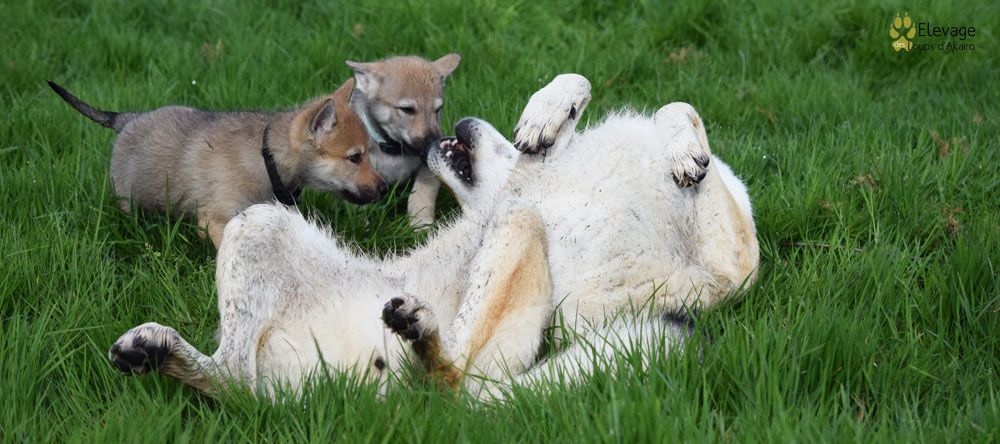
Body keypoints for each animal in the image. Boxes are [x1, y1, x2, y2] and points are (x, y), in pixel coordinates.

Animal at [48, 79, 386, 246]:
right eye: (355, 158)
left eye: (370, 152)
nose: (384, 189)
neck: (266, 159)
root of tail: (126, 119)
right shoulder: (216, 220)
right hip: (127, 200)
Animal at [108, 74, 759, 400]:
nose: (464, 120)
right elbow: (617, 91)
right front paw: (547, 113)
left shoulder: (730, 264)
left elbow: (681, 109)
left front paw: (683, 155)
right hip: (258, 222)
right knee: (235, 381)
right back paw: (157, 350)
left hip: (515, 233)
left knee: (454, 380)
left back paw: (420, 335)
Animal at [346, 54, 461, 227]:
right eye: (407, 110)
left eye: (437, 110)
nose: (434, 145)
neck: (393, 151)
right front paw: (360, 223)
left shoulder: (429, 168)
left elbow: (421, 193)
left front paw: (421, 224)